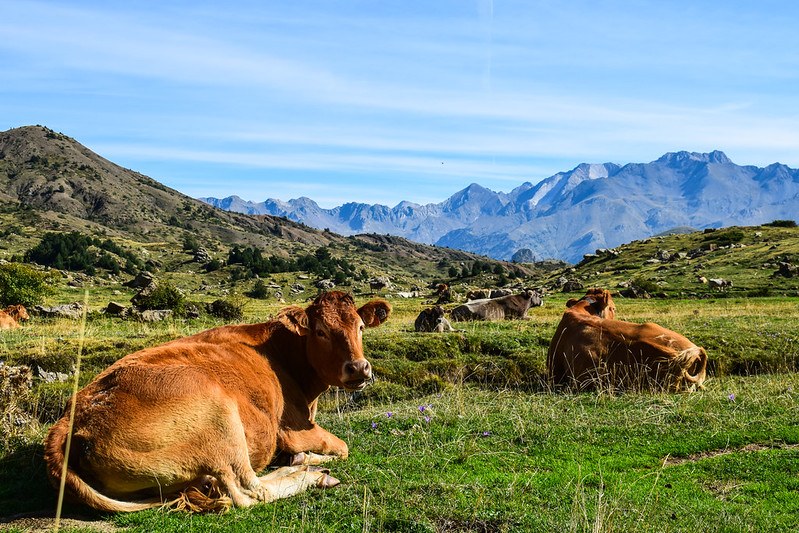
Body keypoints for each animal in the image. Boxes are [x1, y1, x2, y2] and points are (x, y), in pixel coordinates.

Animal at [44, 290, 394, 512]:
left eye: (360, 326)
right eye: (320, 331)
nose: (359, 368)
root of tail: (71, 418)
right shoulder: (293, 428)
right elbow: (343, 447)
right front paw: (306, 458)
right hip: (221, 421)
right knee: (248, 490)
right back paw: (310, 474)